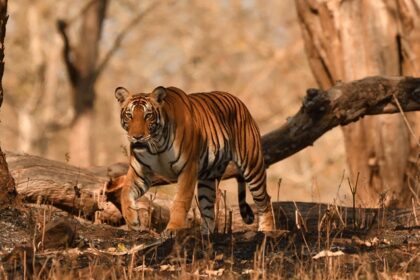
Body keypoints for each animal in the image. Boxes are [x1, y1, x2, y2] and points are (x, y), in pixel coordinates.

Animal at [113, 86, 274, 233]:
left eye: (148, 115)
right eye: (129, 115)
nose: (137, 137)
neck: (156, 145)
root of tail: (240, 102)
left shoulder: (187, 169)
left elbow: (180, 201)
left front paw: (173, 229)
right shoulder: (139, 173)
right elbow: (125, 193)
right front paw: (132, 222)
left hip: (252, 165)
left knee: (265, 199)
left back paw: (267, 230)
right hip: (208, 179)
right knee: (208, 209)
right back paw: (205, 235)